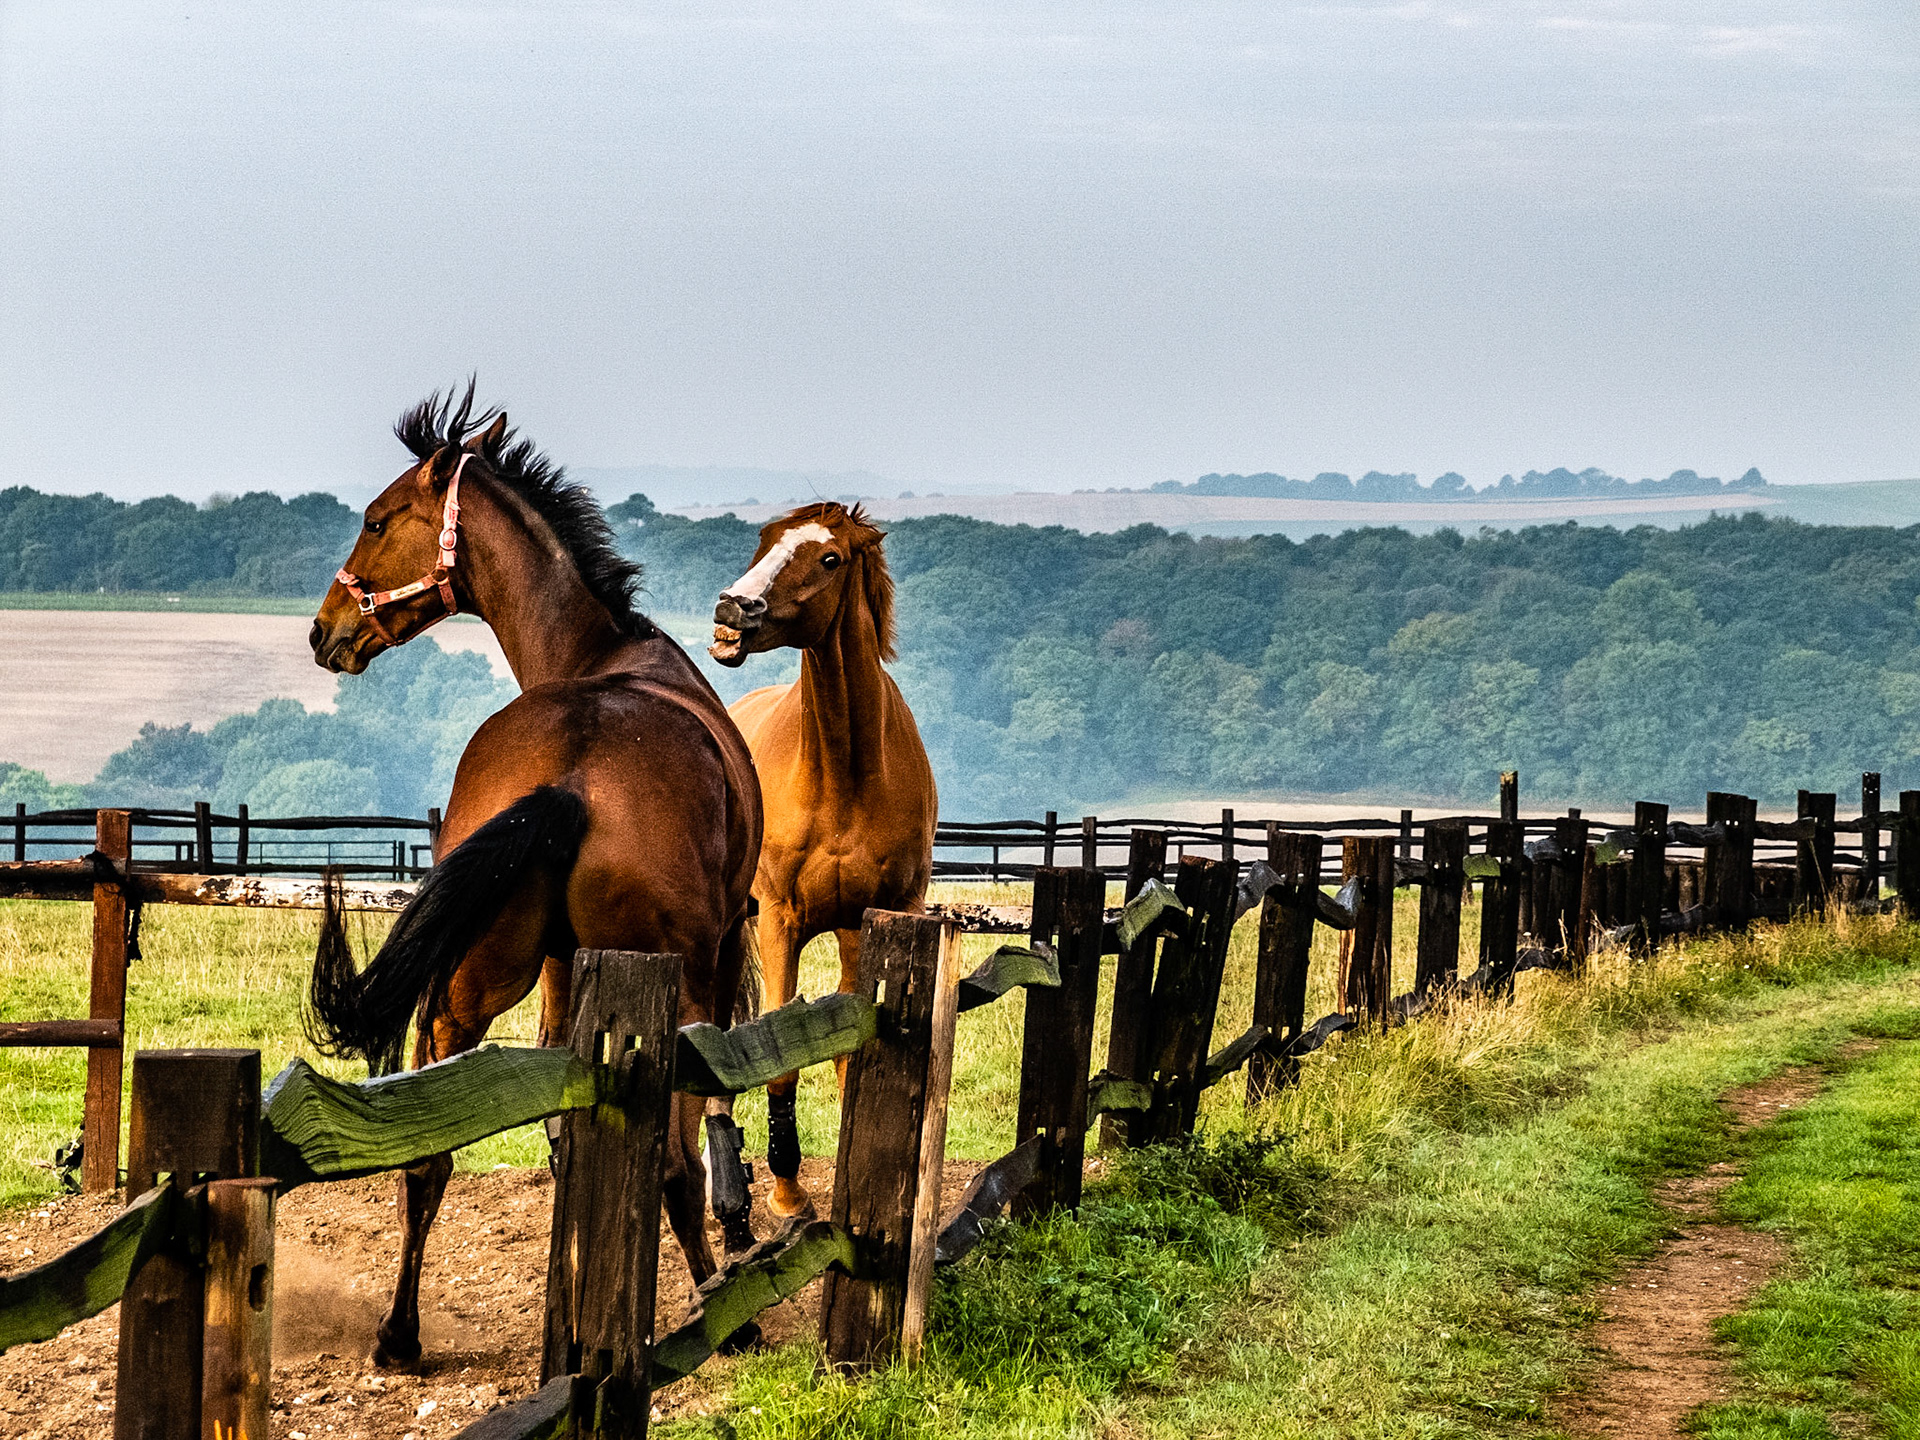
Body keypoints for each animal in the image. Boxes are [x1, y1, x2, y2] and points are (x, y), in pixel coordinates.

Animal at [305, 385, 762, 1368]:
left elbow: (560, 1125)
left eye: (374, 520)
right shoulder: (711, 956)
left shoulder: (558, 968)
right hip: (660, 979)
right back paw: (720, 1306)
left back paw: (400, 1334)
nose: (325, 629)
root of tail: (570, 777)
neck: (603, 657)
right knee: (670, 1163)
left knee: (429, 1154)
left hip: (465, 992)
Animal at [709, 502, 937, 1218]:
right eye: (763, 541)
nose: (732, 607)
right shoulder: (781, 922)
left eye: (829, 558)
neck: (845, 775)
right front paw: (787, 1193)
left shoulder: (879, 919)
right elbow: (779, 1060)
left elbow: (851, 1050)